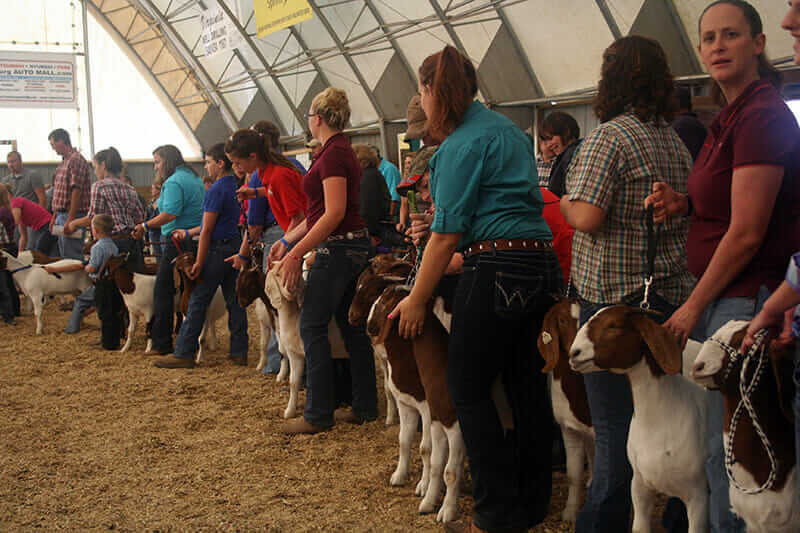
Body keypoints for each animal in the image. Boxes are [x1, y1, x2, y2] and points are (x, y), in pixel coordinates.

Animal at [366, 284, 466, 520]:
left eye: (383, 301)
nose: (367, 324)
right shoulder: (406, 404)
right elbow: (404, 440)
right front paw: (399, 476)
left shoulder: (430, 411)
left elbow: (425, 449)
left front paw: (424, 486)